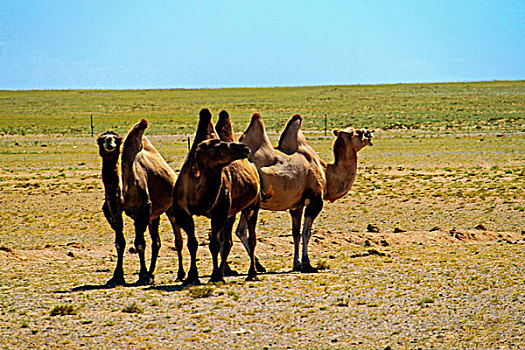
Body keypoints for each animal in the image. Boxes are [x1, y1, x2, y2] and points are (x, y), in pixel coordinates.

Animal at [99, 119, 184, 286]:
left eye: (116, 139)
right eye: (101, 139)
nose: (109, 141)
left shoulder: (143, 209)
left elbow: (139, 243)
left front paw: (143, 276)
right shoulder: (113, 211)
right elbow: (120, 243)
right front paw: (117, 277)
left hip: (170, 208)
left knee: (177, 240)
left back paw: (180, 274)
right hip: (154, 215)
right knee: (156, 242)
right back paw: (152, 274)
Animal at [172, 109, 260, 284]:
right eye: (219, 147)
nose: (244, 148)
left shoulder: (218, 213)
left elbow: (214, 244)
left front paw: (214, 276)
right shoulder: (184, 213)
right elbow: (193, 243)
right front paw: (192, 276)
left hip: (252, 205)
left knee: (251, 237)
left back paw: (251, 274)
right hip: (231, 212)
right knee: (228, 241)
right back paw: (225, 271)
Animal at [236, 113, 326, 272]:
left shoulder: (296, 205)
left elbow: (296, 233)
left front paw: (297, 263)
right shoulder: (315, 200)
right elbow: (306, 233)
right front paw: (307, 264)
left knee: (238, 231)